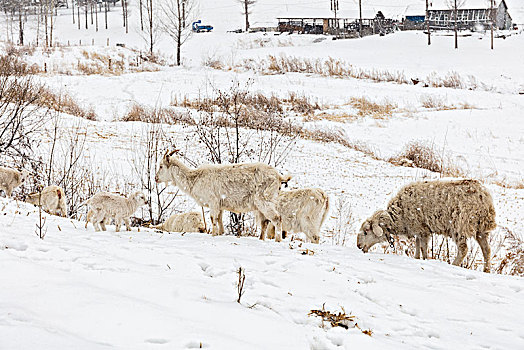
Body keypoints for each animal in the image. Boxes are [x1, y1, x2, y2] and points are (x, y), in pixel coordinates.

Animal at [156, 149, 290, 242]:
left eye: (161, 166)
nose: (156, 178)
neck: (195, 178)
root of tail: (278, 176)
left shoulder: (213, 202)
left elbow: (212, 219)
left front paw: (213, 234)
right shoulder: (220, 205)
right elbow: (219, 221)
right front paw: (220, 234)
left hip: (264, 200)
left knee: (277, 218)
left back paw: (277, 240)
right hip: (260, 206)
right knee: (264, 222)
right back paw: (261, 239)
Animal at [356, 179, 496, 272]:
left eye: (366, 231)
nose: (359, 246)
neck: (399, 216)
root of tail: (484, 197)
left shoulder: (422, 229)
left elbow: (423, 248)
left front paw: (424, 260)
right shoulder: (418, 229)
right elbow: (418, 246)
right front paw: (417, 258)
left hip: (460, 225)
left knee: (463, 249)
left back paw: (454, 265)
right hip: (481, 228)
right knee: (487, 249)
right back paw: (486, 270)